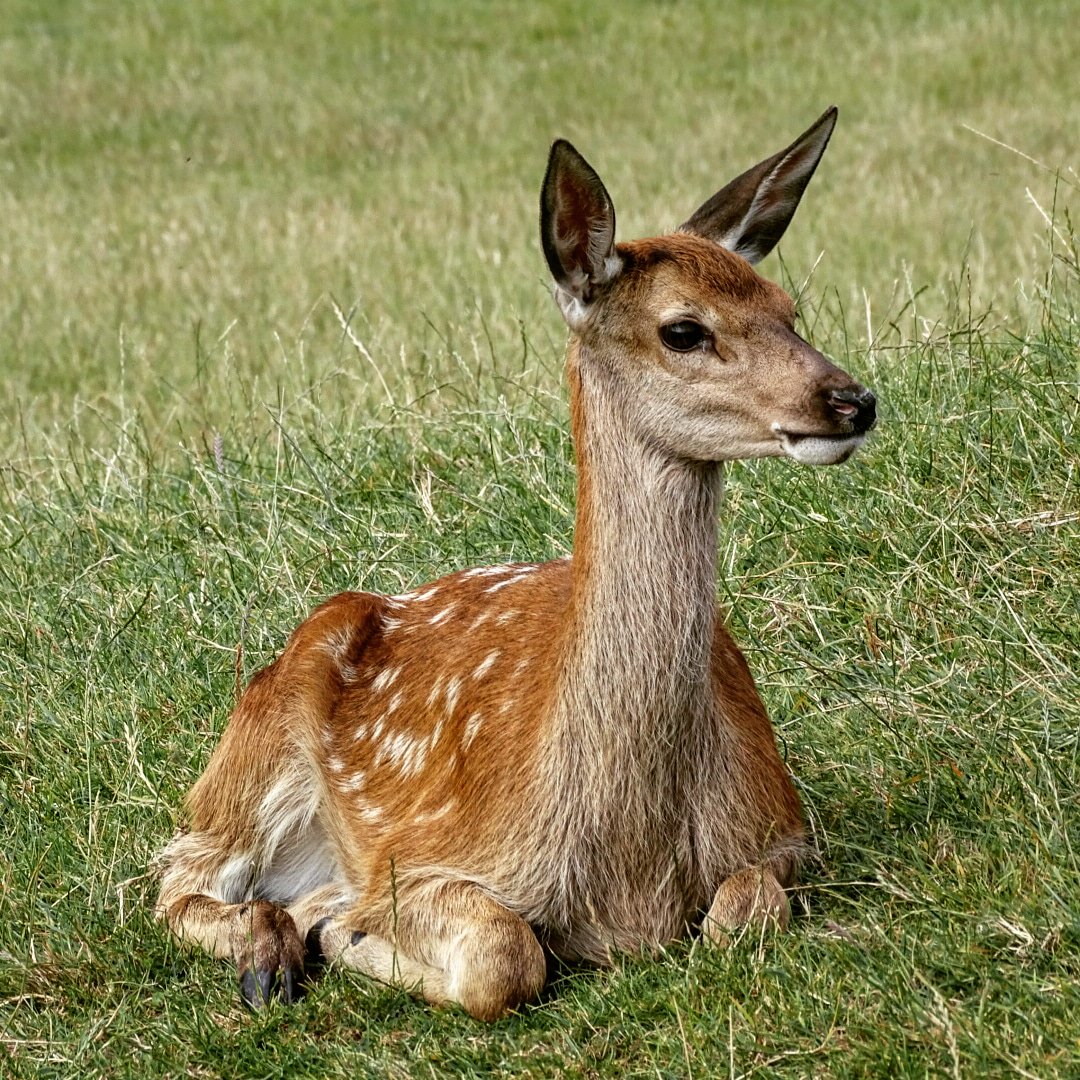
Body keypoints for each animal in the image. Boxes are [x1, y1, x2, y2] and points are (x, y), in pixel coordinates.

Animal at [154, 107, 876, 1019]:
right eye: (683, 329)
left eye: (788, 306)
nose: (853, 400)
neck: (632, 870)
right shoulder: (421, 856)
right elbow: (504, 956)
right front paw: (344, 931)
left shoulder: (782, 831)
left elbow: (740, 918)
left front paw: (334, 924)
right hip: (247, 756)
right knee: (173, 878)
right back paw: (274, 951)